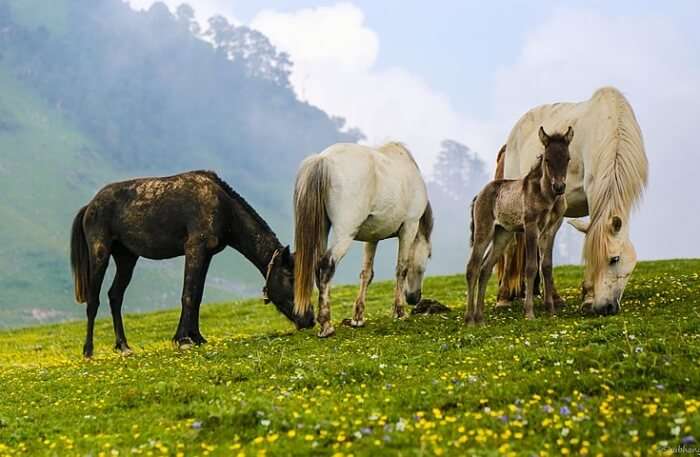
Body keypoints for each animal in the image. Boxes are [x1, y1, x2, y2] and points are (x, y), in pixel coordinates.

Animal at [72, 170, 314, 356]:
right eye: (291, 278)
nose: (310, 319)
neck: (223, 207)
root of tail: (89, 206)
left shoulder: (206, 255)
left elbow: (197, 296)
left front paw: (195, 337)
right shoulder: (195, 249)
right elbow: (188, 295)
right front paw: (183, 340)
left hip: (127, 258)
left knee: (115, 296)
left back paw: (123, 346)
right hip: (100, 254)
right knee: (93, 300)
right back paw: (88, 350)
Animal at [290, 142, 432, 338]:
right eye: (426, 260)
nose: (414, 298)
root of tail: (323, 159)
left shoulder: (373, 237)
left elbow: (367, 274)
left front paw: (358, 317)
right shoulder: (409, 227)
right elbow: (401, 269)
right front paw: (399, 312)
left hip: (323, 230)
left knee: (318, 268)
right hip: (345, 234)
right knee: (326, 266)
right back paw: (326, 326)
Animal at [464, 126, 576, 322]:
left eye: (567, 158)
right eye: (547, 159)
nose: (559, 187)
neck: (546, 195)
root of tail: (479, 195)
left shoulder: (549, 230)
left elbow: (546, 266)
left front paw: (551, 311)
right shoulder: (531, 227)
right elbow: (531, 267)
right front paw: (529, 313)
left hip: (502, 234)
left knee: (485, 269)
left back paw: (480, 319)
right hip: (483, 231)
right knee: (473, 267)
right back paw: (469, 319)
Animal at [500, 86, 648, 314]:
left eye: (615, 259)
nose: (604, 308)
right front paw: (588, 297)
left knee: (544, 246)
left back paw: (553, 297)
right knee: (512, 245)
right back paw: (503, 298)